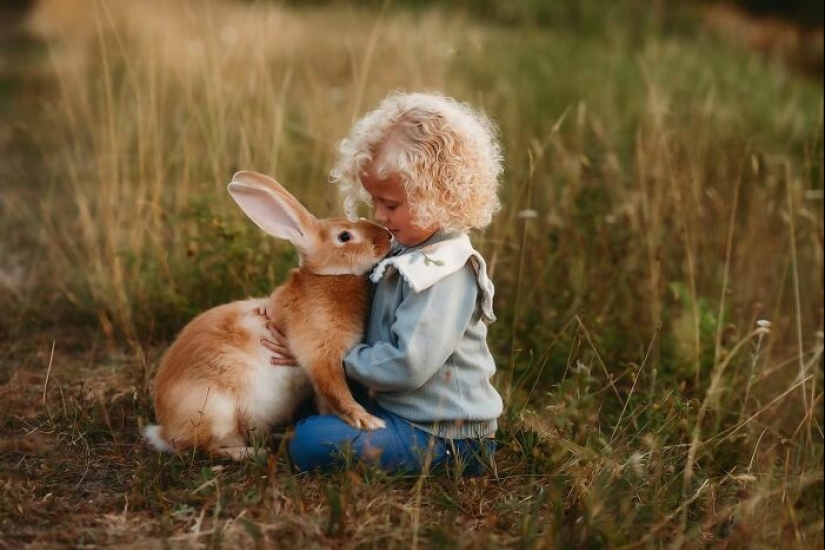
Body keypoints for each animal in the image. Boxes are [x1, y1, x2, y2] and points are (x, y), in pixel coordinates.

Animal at [143, 171, 394, 462]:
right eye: (344, 236)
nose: (388, 236)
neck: (329, 277)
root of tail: (166, 431)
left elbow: (326, 400)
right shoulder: (320, 357)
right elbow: (337, 391)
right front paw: (367, 420)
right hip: (217, 411)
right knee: (205, 447)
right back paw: (250, 453)